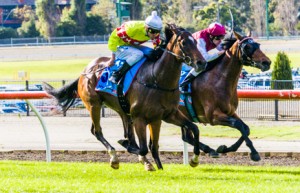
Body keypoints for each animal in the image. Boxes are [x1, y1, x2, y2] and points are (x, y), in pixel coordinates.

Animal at [42, 23, 206, 170]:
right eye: (184, 42)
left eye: (195, 41)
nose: (201, 63)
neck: (156, 79)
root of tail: (85, 71)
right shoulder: (140, 118)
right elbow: (143, 147)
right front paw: (126, 145)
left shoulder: (165, 115)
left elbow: (192, 129)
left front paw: (194, 160)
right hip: (94, 104)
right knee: (97, 131)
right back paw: (114, 158)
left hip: (122, 109)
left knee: (127, 132)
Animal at [178, 30, 272, 161]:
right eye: (247, 47)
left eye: (258, 45)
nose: (266, 62)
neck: (219, 80)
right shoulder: (213, 116)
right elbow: (238, 125)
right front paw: (254, 153)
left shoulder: (231, 112)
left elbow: (246, 128)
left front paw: (224, 148)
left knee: (186, 137)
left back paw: (211, 150)